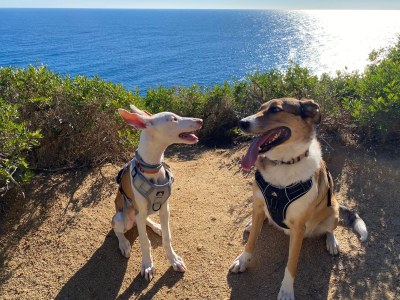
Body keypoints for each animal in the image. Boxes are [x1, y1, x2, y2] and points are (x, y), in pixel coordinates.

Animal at [112, 104, 203, 280]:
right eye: (173, 119)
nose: (200, 120)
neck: (152, 169)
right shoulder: (140, 211)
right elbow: (145, 242)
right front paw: (147, 265)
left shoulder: (165, 209)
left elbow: (167, 238)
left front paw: (174, 260)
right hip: (121, 218)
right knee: (117, 229)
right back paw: (124, 244)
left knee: (146, 221)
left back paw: (157, 227)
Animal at [230, 98, 368, 300]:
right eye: (260, 108)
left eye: (275, 109)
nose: (241, 122)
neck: (283, 163)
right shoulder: (258, 203)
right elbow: (251, 242)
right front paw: (242, 261)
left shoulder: (298, 227)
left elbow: (291, 264)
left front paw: (286, 291)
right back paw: (252, 223)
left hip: (332, 210)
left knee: (330, 229)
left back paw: (331, 242)